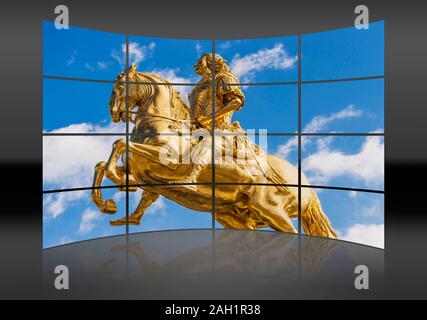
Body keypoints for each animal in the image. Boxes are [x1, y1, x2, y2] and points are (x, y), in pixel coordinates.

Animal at [93, 65, 338, 239]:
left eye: (119, 87)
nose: (113, 112)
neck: (161, 124)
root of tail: (308, 188)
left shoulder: (167, 162)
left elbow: (119, 144)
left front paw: (118, 185)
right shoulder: (141, 171)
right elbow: (102, 165)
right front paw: (108, 204)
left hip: (271, 210)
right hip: (234, 218)